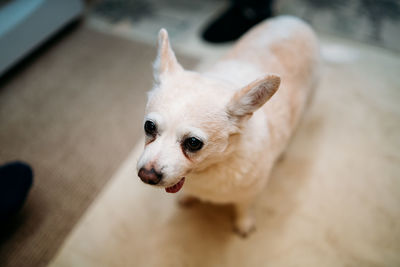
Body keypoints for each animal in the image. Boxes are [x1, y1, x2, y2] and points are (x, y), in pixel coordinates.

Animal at [137, 15, 318, 237]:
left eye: (194, 143)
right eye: (149, 127)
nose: (147, 175)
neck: (208, 167)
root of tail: (293, 19)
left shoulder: (250, 192)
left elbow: (243, 207)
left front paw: (243, 223)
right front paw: (188, 197)